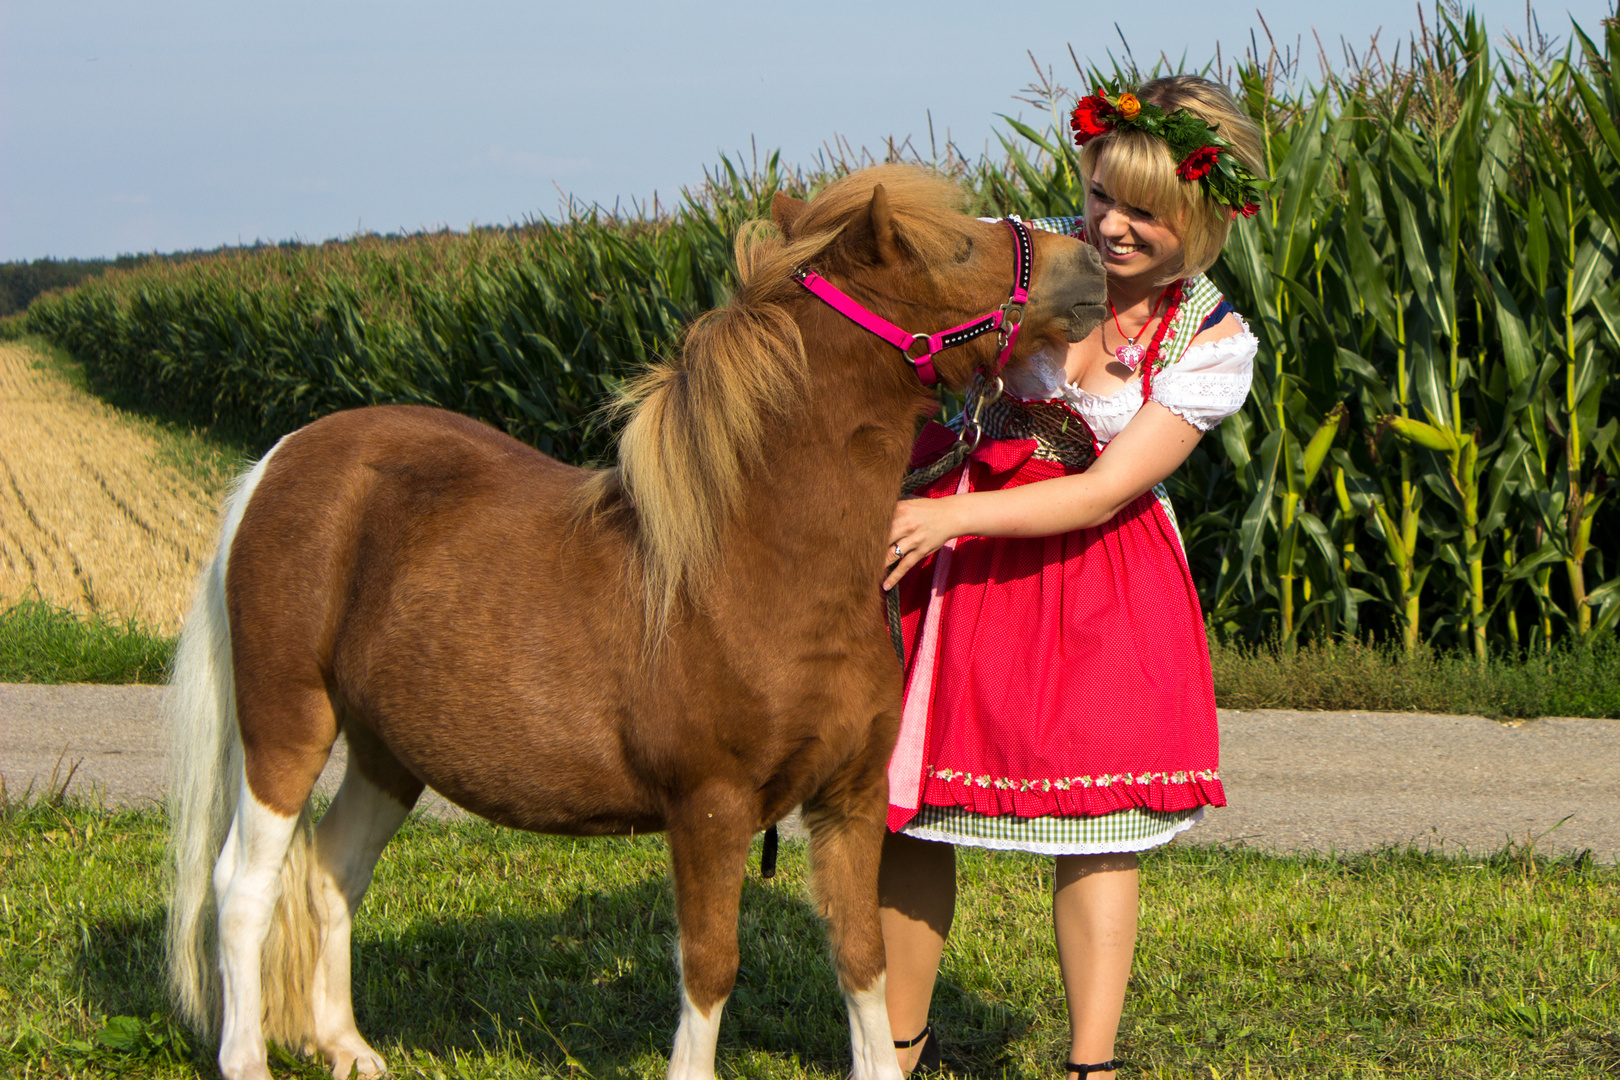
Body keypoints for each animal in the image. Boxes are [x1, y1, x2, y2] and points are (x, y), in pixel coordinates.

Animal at [164, 165, 1108, 1080]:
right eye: (956, 249)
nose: (1091, 264)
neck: (759, 563)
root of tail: (278, 462)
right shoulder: (710, 809)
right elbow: (710, 966)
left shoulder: (848, 801)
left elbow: (863, 958)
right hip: (287, 722)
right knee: (243, 888)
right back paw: (246, 1059)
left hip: (385, 750)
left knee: (333, 873)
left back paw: (349, 1050)